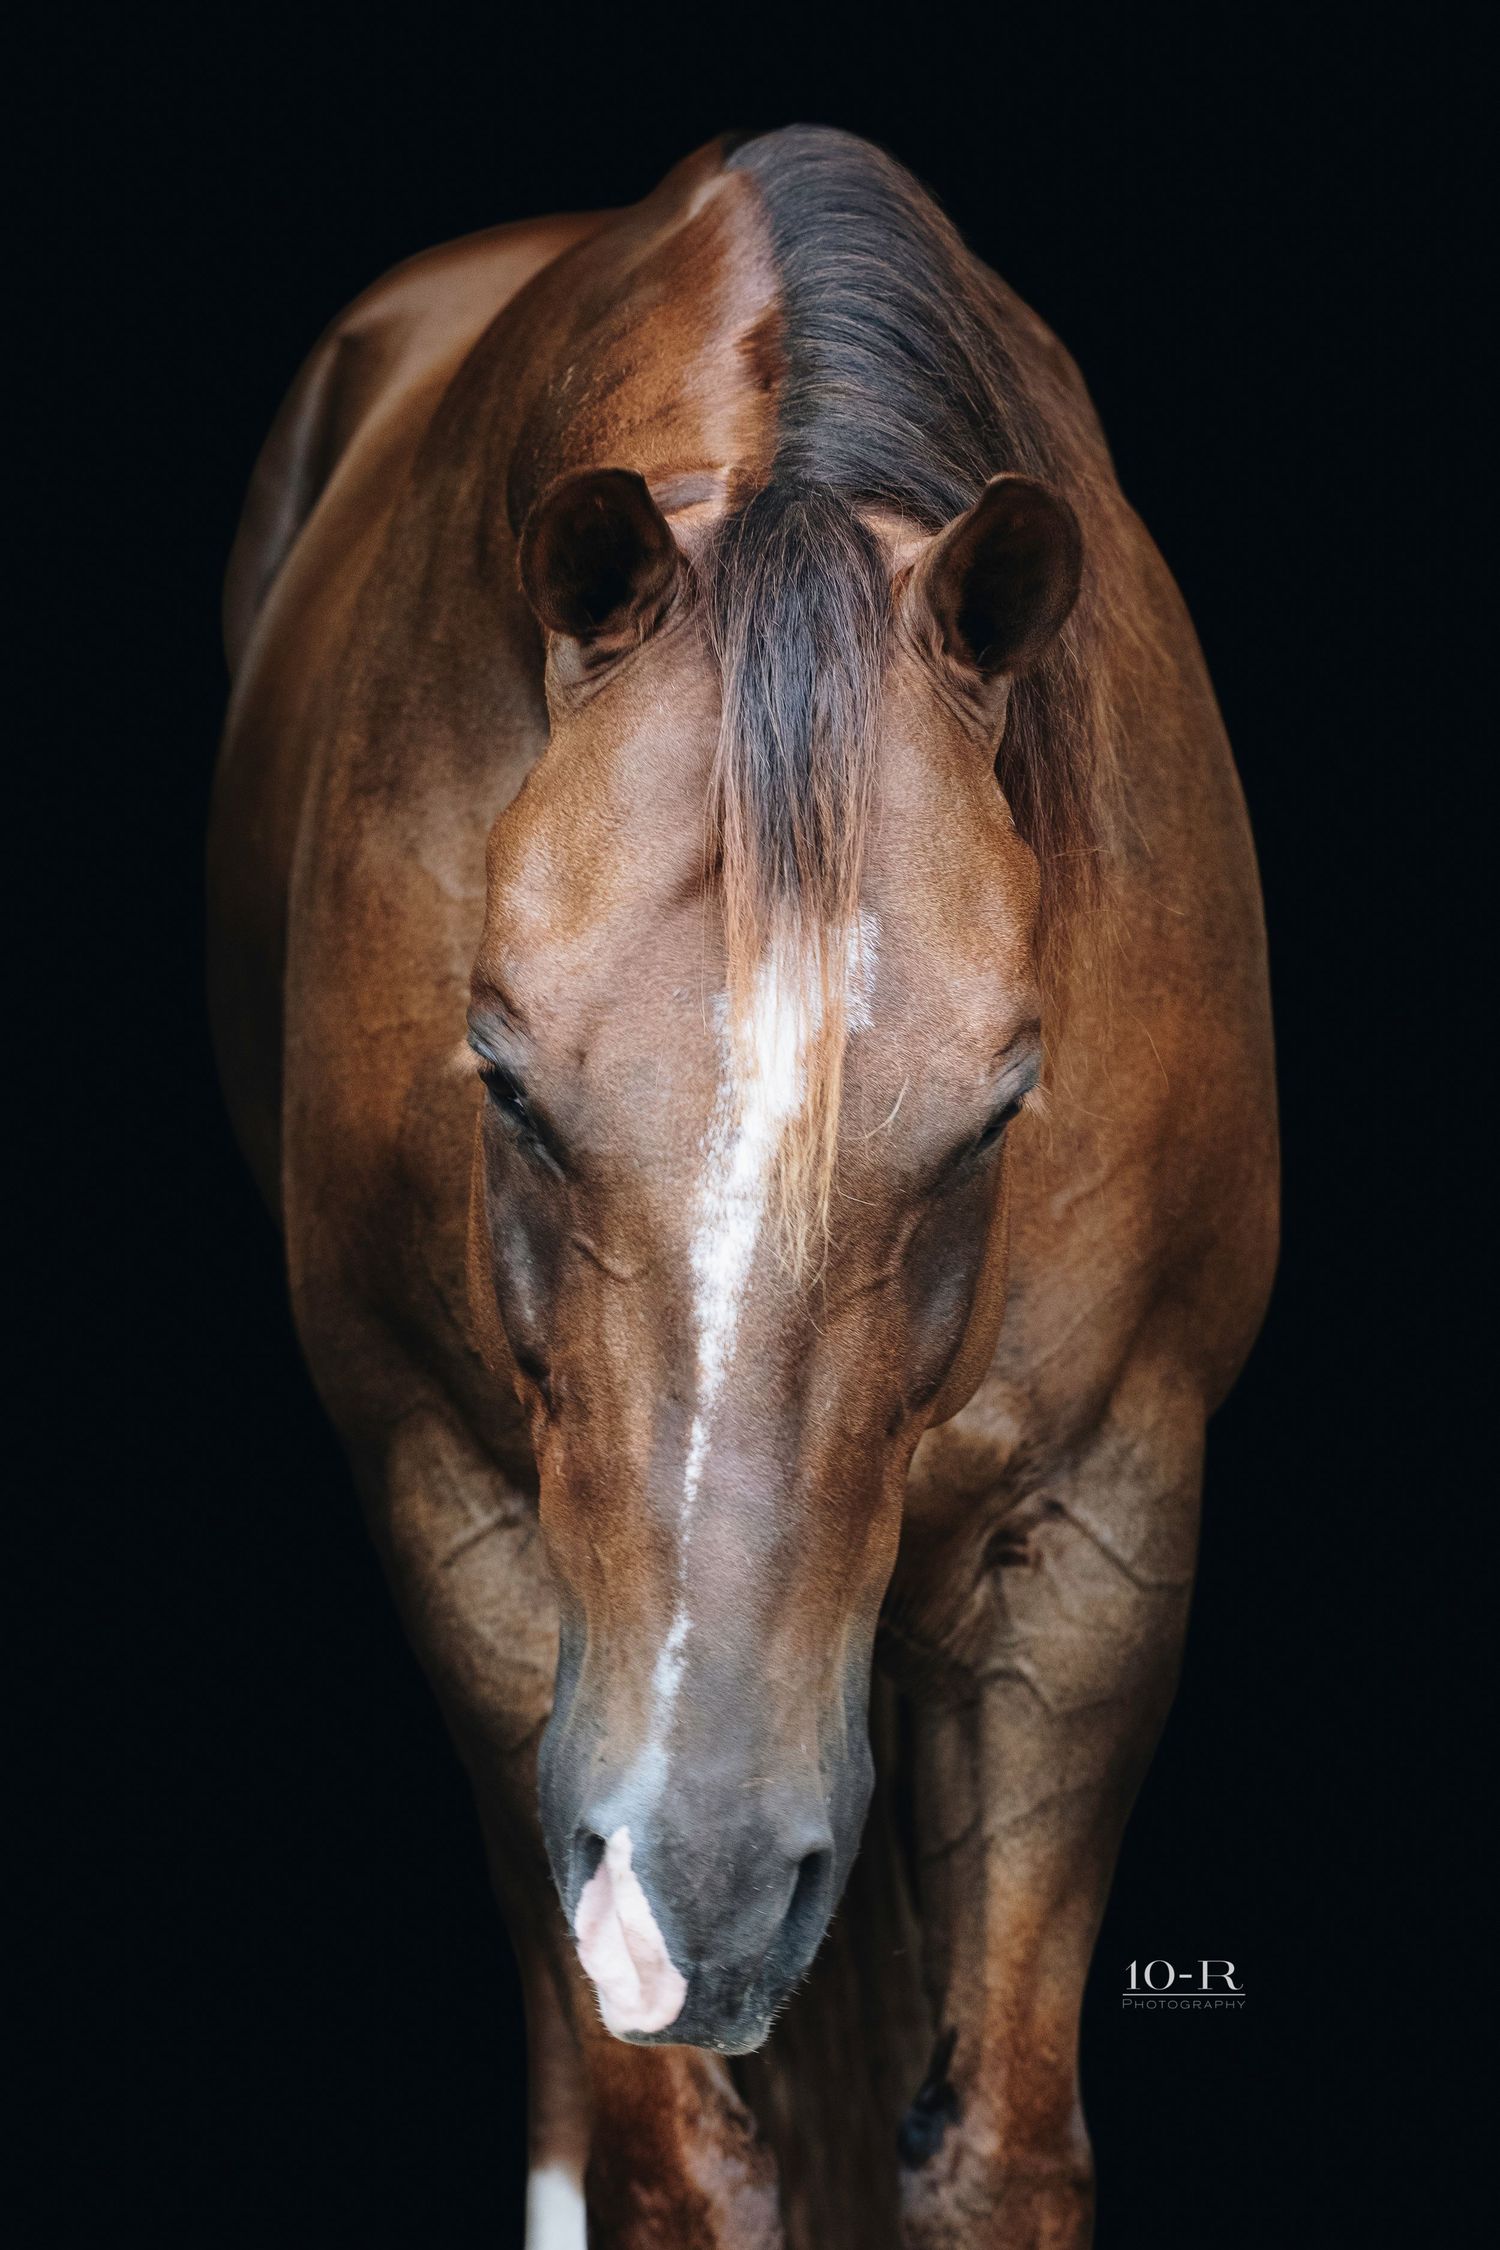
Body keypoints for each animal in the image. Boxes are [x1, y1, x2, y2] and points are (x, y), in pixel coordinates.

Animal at [209, 125, 1277, 2249]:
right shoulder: (459, 1511)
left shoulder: (1103, 1529)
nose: (694, 1886)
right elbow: (674, 2162)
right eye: (504, 1079)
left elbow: (997, 2155)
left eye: (997, 1111)